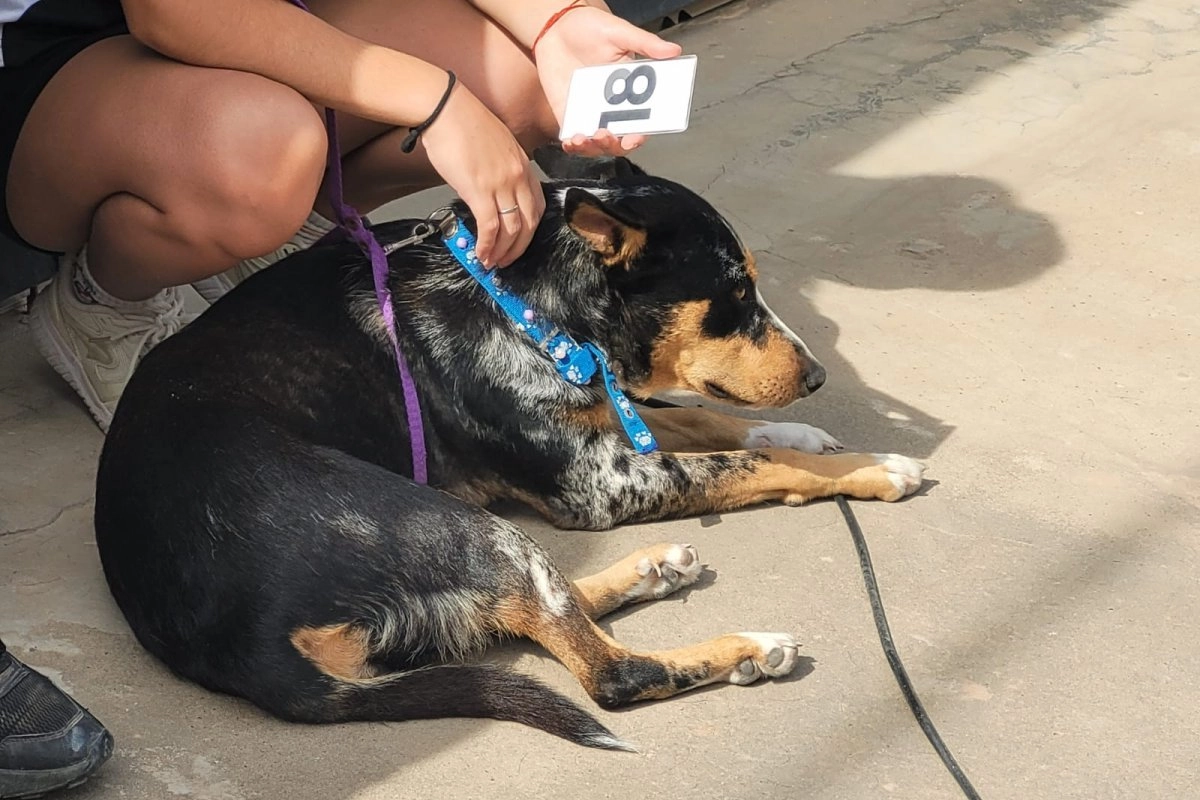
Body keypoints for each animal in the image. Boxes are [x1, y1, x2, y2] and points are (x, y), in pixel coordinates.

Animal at [94, 158, 925, 749]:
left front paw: (804, 434)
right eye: (735, 295)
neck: (518, 295)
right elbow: (746, 465)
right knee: (610, 671)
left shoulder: (607, 429)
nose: (817, 378)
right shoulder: (603, 482)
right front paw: (869, 468)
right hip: (456, 523)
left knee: (539, 609)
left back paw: (653, 571)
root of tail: (240, 651)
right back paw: (746, 646)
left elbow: (703, 421)